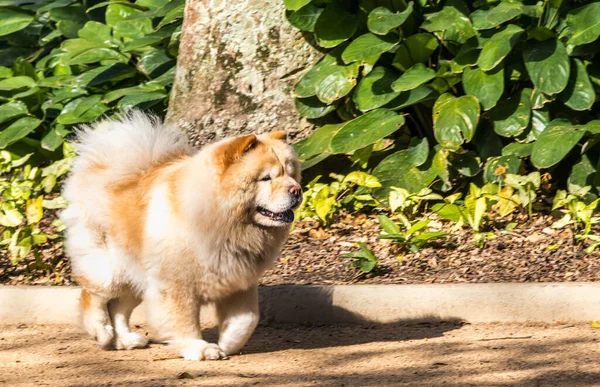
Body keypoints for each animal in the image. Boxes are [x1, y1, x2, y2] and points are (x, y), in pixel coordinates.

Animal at [62, 112, 300, 360]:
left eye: (291, 173)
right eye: (266, 178)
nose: (297, 190)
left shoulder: (238, 282)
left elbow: (246, 320)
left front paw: (227, 345)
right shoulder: (176, 284)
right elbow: (184, 320)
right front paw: (201, 348)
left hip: (137, 276)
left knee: (118, 307)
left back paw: (125, 340)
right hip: (111, 269)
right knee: (92, 296)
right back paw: (102, 333)